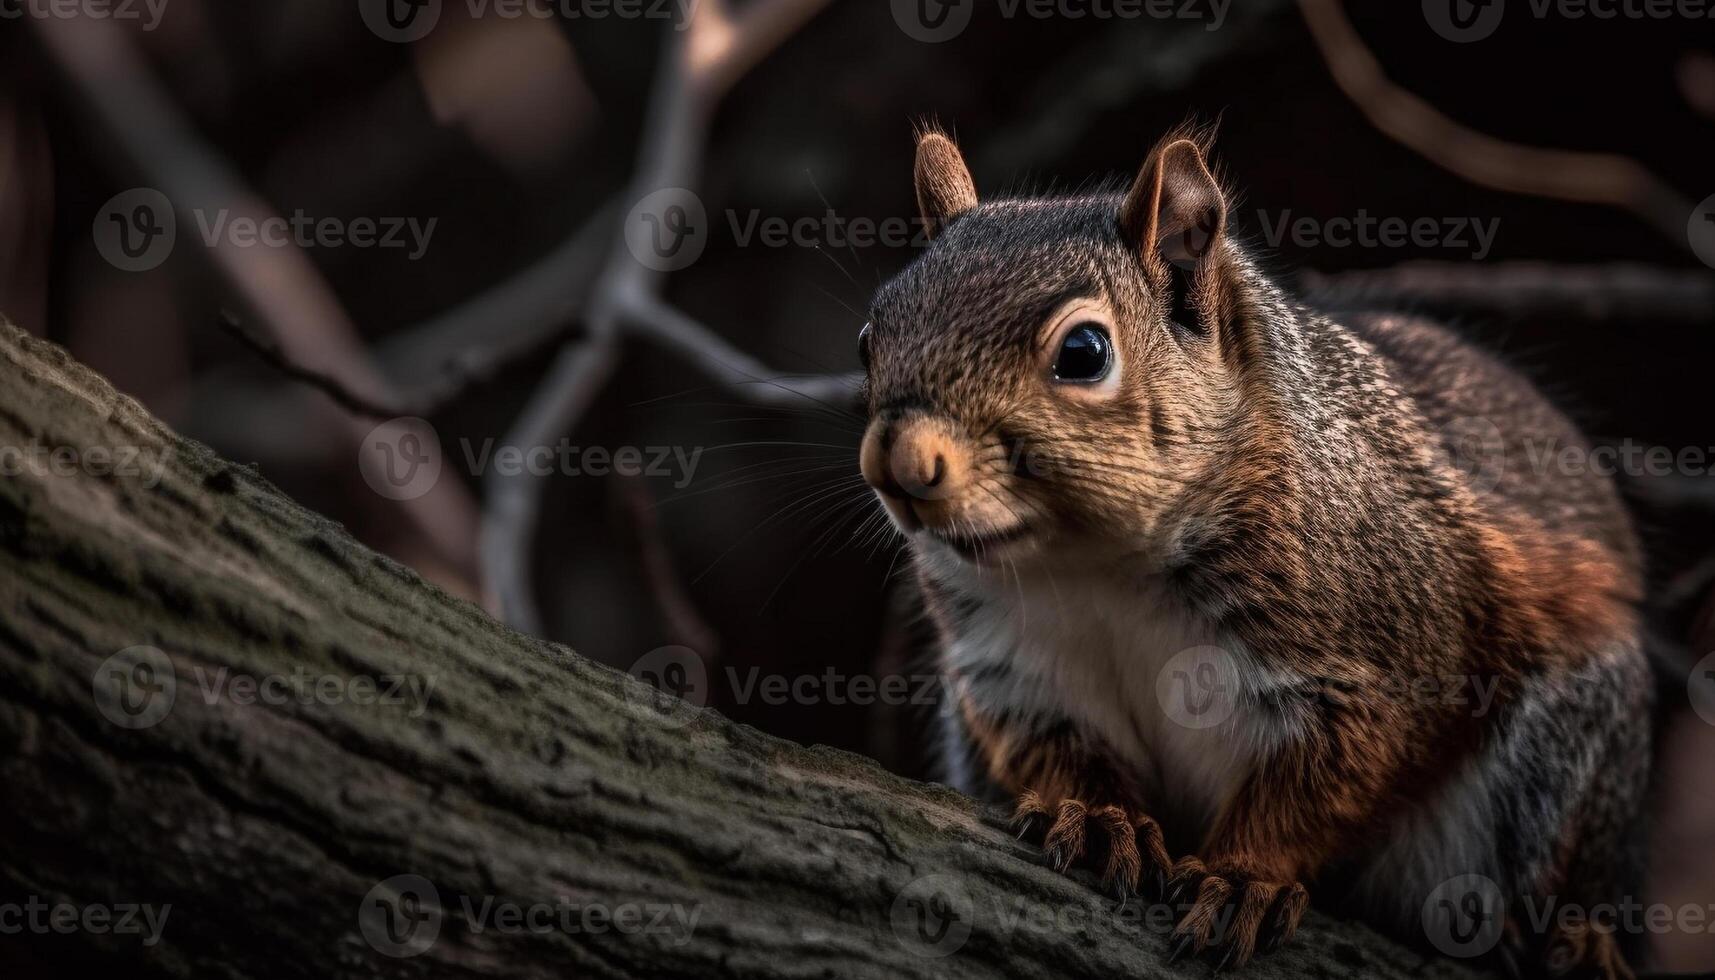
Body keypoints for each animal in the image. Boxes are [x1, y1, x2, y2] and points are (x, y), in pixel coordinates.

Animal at [857, 126, 1660, 974]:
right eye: (869, 339)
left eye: (1083, 351)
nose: (899, 460)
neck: (1099, 565)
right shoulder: (1017, 670)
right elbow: (1054, 752)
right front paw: (1100, 818)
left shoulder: (1378, 652)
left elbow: (1322, 781)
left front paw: (1245, 877)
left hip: (1565, 755)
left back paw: (1580, 936)